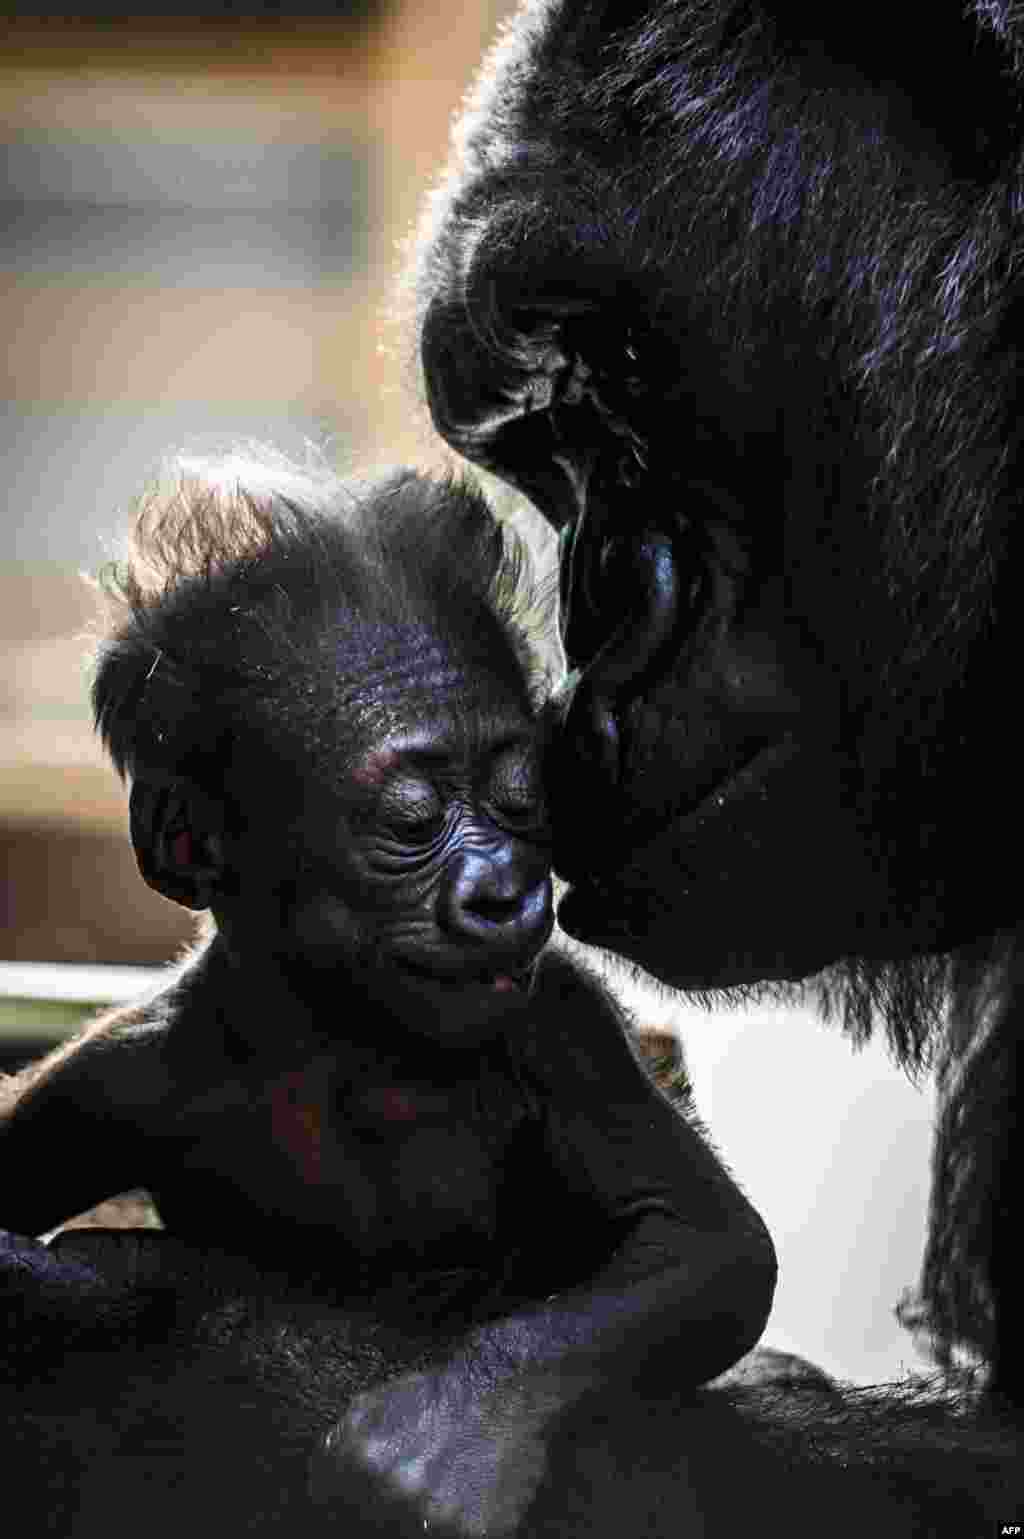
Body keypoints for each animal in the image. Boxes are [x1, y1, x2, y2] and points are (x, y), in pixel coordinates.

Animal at [0, 458, 769, 1539]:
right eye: (412, 821)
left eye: (520, 804)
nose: (505, 889)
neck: (341, 1031)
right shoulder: (119, 1070)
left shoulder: (563, 1022)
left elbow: (704, 1242)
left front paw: (448, 1436)